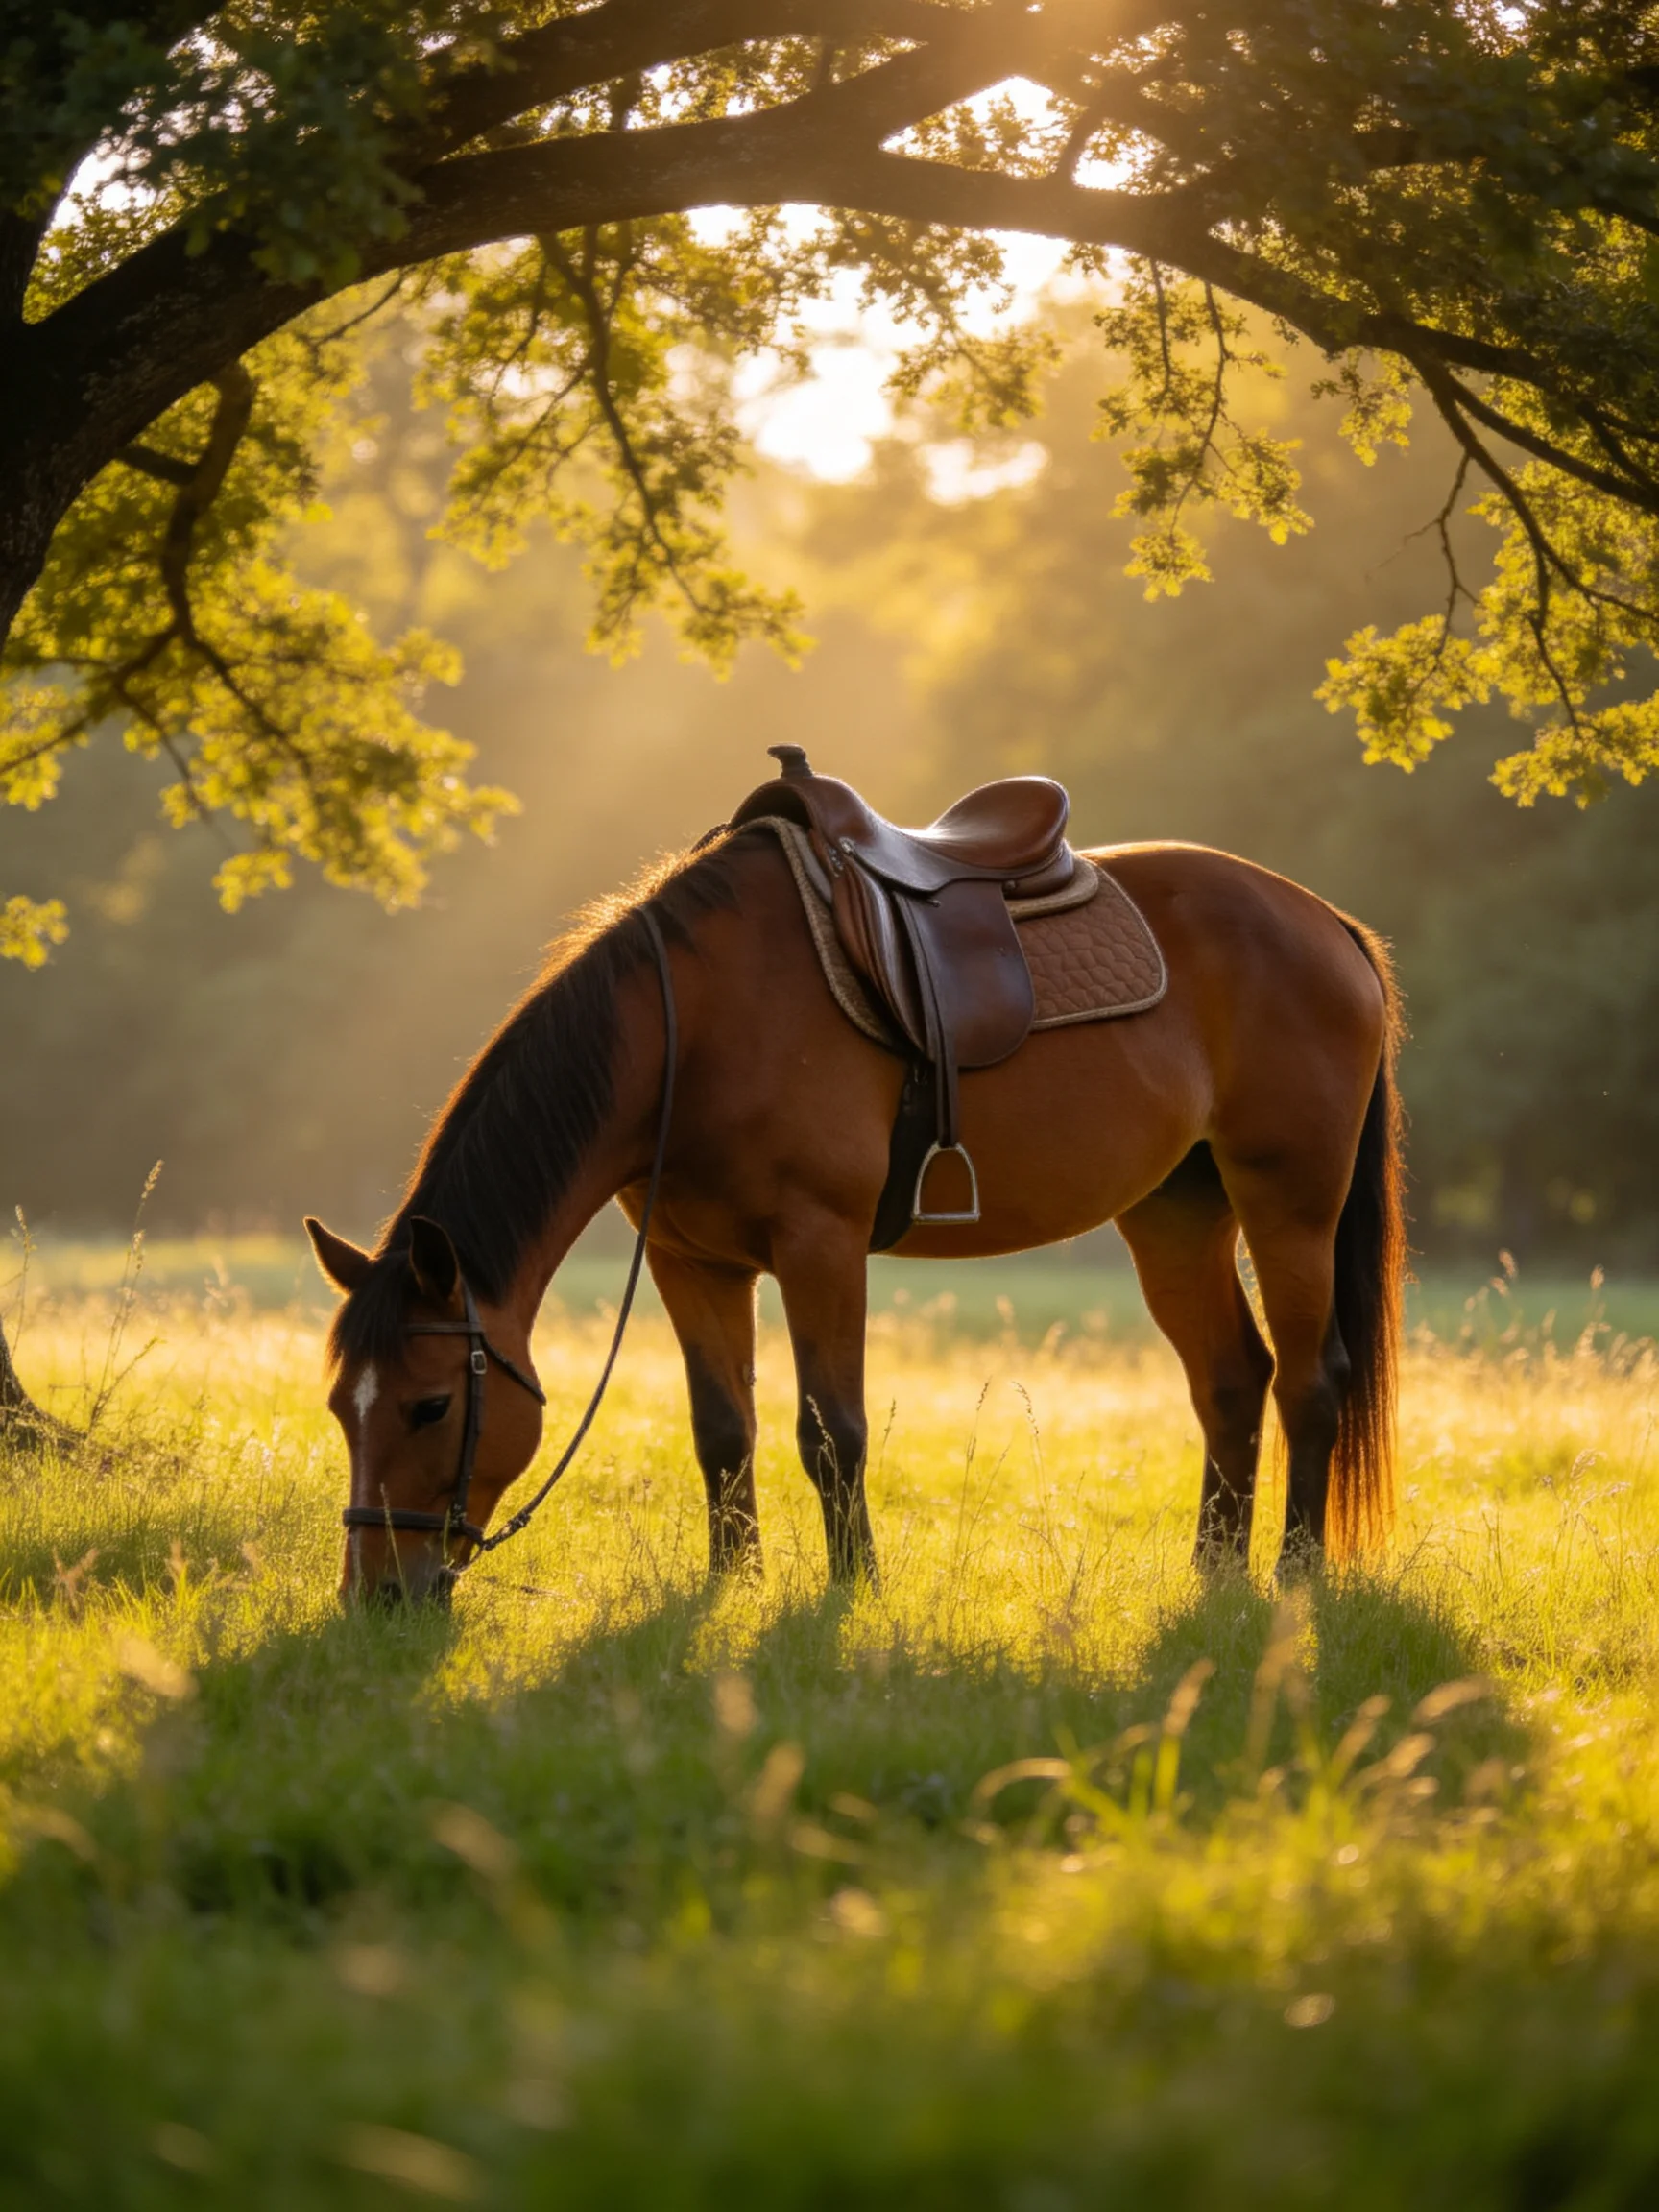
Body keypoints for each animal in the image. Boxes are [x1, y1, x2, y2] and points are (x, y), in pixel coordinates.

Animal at [306, 823, 1404, 1605]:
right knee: (1231, 1380)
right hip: (1175, 1216)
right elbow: (724, 1431)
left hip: (1291, 1204)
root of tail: (1328, 923)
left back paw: (1294, 1576)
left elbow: (831, 1431)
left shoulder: (821, 1243)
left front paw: (853, 1589)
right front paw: (733, 1586)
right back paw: (1214, 1574)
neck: (692, 1027)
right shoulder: (689, 1260)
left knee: (1311, 1382)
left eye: (431, 1405)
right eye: (339, 1409)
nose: (375, 1598)